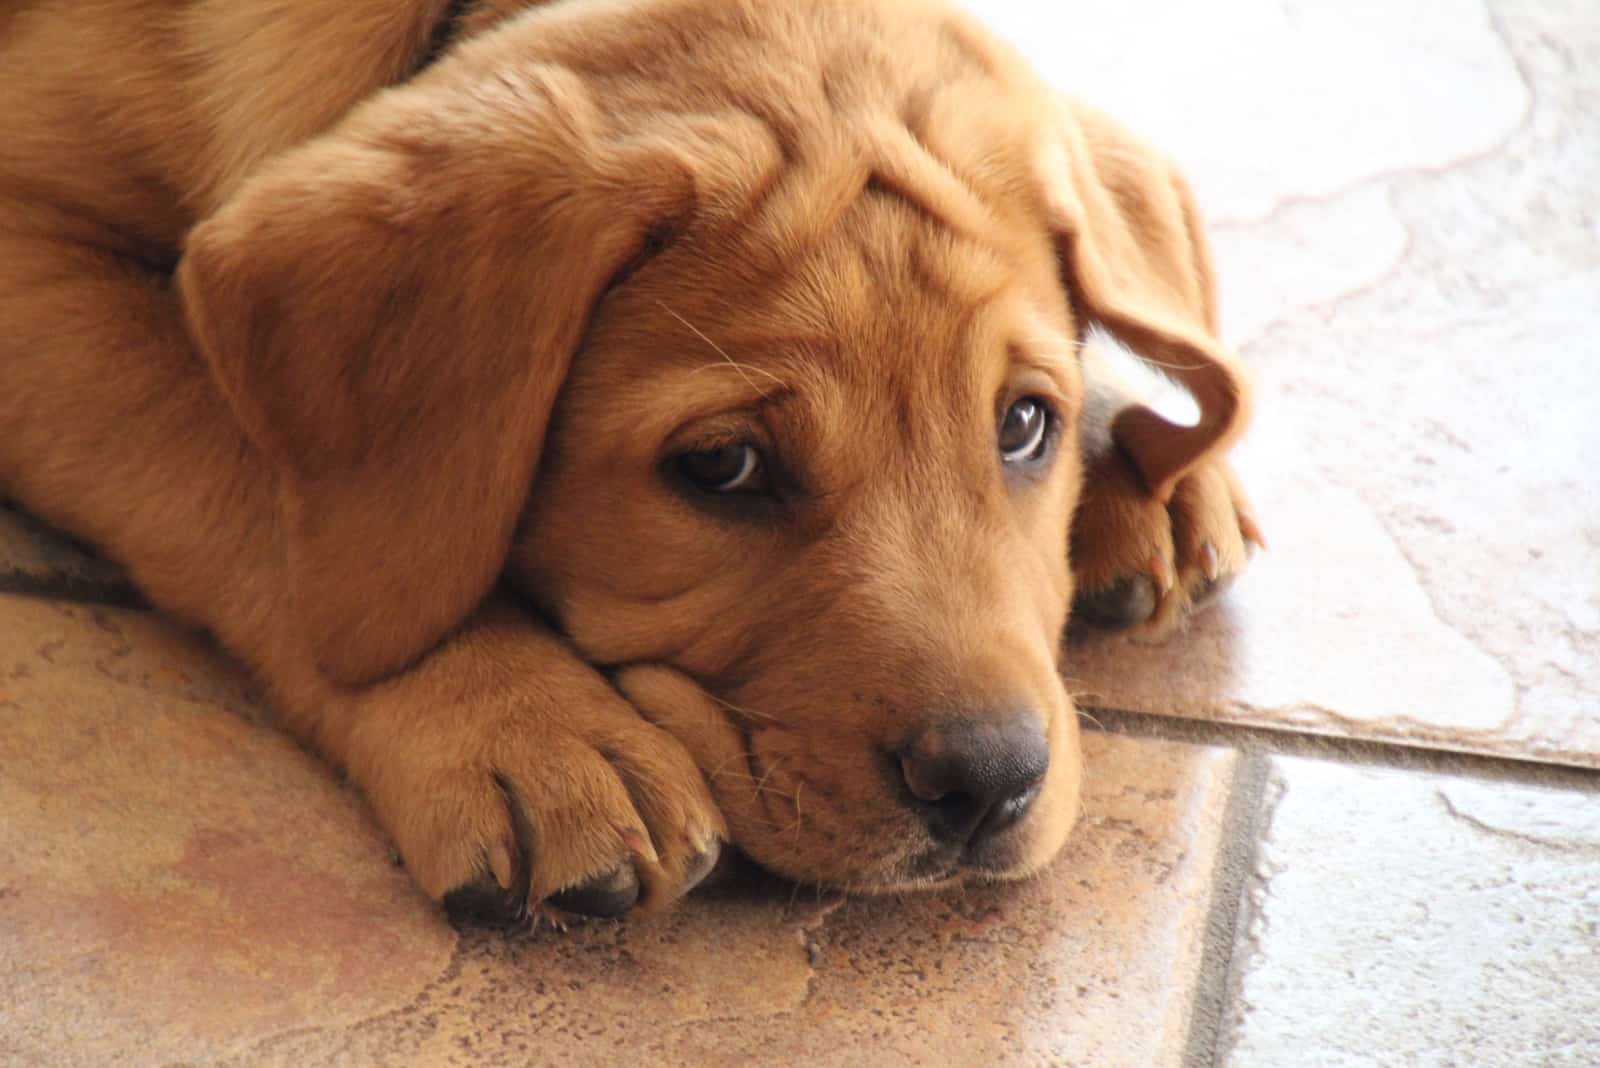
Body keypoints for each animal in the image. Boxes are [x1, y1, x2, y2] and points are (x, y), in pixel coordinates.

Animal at [0, 0, 1248, 920]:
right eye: (725, 467)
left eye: (1024, 425)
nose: (987, 782)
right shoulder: (31, 246)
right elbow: (262, 486)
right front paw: (521, 724)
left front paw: (1146, 465)